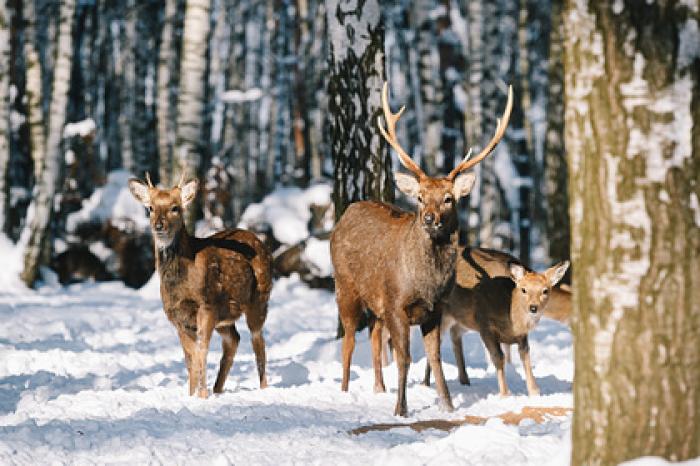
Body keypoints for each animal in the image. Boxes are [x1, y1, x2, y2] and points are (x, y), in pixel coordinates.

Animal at [129, 173, 274, 398]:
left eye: (175, 208)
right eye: (150, 208)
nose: (159, 226)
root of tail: (258, 239)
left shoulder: (206, 305)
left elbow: (201, 350)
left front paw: (201, 396)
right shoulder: (177, 317)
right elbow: (190, 358)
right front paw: (191, 395)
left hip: (259, 298)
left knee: (257, 340)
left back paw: (263, 388)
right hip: (225, 316)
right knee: (234, 339)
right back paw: (218, 389)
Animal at [330, 81, 512, 416]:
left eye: (449, 199)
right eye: (419, 197)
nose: (429, 218)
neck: (426, 283)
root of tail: (347, 211)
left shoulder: (435, 309)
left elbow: (435, 357)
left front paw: (448, 405)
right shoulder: (396, 304)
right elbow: (405, 358)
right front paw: (400, 409)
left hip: (376, 301)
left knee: (374, 335)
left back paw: (379, 387)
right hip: (345, 286)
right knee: (349, 339)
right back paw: (346, 390)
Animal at [422, 248, 568, 396]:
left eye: (545, 291)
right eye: (524, 289)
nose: (533, 307)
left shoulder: (522, 335)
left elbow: (525, 356)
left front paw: (534, 392)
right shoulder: (484, 324)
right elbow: (498, 357)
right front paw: (505, 394)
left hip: (463, 320)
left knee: (454, 335)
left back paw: (464, 380)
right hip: (442, 315)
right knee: (433, 344)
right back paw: (426, 383)